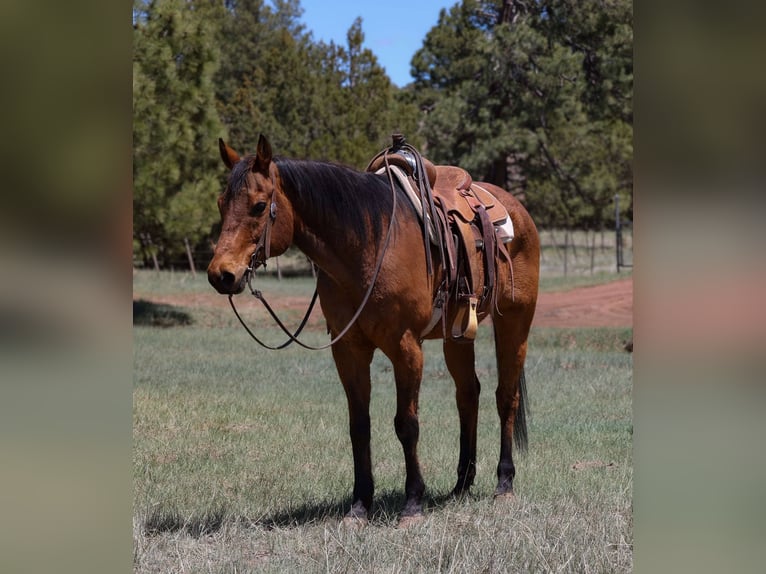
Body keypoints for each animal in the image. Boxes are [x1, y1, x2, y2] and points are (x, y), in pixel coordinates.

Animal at [207, 134, 540, 526]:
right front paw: (359, 504)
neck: (368, 245)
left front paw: (413, 502)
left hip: (515, 321)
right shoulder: (348, 349)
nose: (221, 274)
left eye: (259, 206)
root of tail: (515, 208)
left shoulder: (406, 348)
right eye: (221, 203)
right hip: (457, 334)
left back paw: (504, 483)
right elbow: (359, 426)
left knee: (506, 397)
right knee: (468, 394)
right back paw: (461, 485)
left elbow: (406, 424)